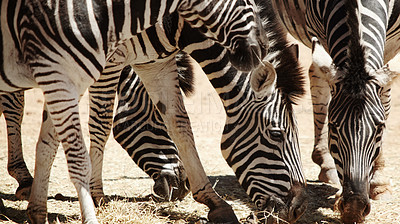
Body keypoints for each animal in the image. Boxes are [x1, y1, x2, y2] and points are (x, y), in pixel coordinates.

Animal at [270, 0, 398, 222]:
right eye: (334, 127)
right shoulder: (321, 33)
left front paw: (379, 182)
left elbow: (385, 100)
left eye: (380, 129)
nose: (354, 209)